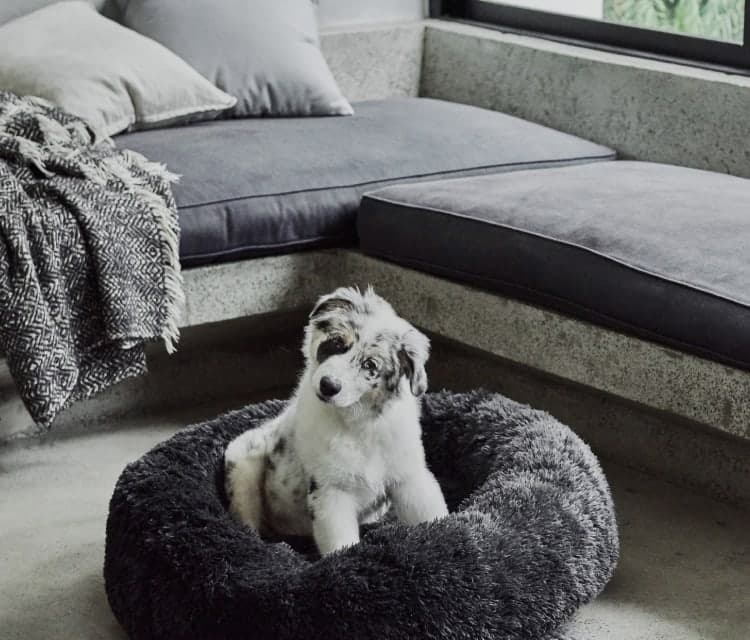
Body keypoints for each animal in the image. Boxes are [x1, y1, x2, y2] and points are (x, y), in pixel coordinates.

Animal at [223, 286, 446, 556]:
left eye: (370, 365)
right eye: (337, 343)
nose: (328, 386)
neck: (359, 424)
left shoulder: (410, 478)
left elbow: (432, 515)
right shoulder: (331, 492)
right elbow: (341, 545)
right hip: (243, 468)